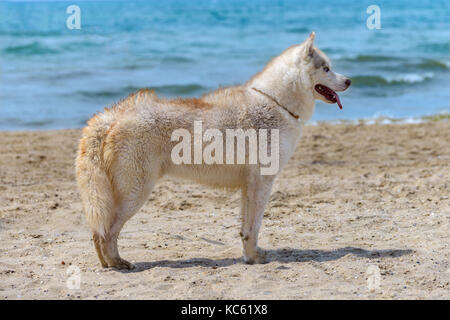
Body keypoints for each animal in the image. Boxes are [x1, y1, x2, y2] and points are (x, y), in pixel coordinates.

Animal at [75, 32, 352, 268]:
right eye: (326, 68)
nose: (349, 80)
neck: (276, 102)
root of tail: (111, 117)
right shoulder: (262, 183)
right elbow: (255, 227)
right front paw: (255, 257)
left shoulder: (249, 185)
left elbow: (246, 229)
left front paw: (249, 257)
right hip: (135, 193)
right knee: (107, 232)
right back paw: (117, 263)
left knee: (97, 232)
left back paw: (107, 264)